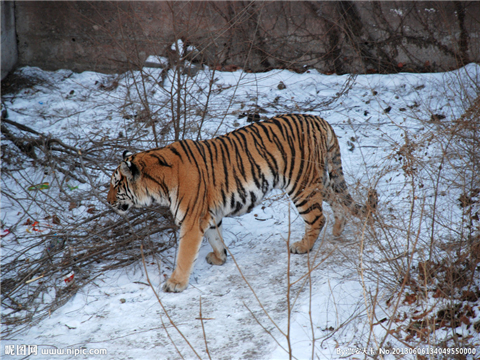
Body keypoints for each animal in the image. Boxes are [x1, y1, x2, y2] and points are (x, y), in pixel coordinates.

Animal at [107, 114, 376, 292]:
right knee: (338, 200)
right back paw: (338, 229)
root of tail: (320, 120)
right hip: (319, 180)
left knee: (318, 217)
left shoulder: (191, 220)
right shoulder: (208, 215)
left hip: (302, 185)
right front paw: (219, 258)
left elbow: (184, 254)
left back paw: (302, 246)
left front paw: (175, 283)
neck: (158, 183)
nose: (108, 202)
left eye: (116, 184)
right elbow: (216, 238)